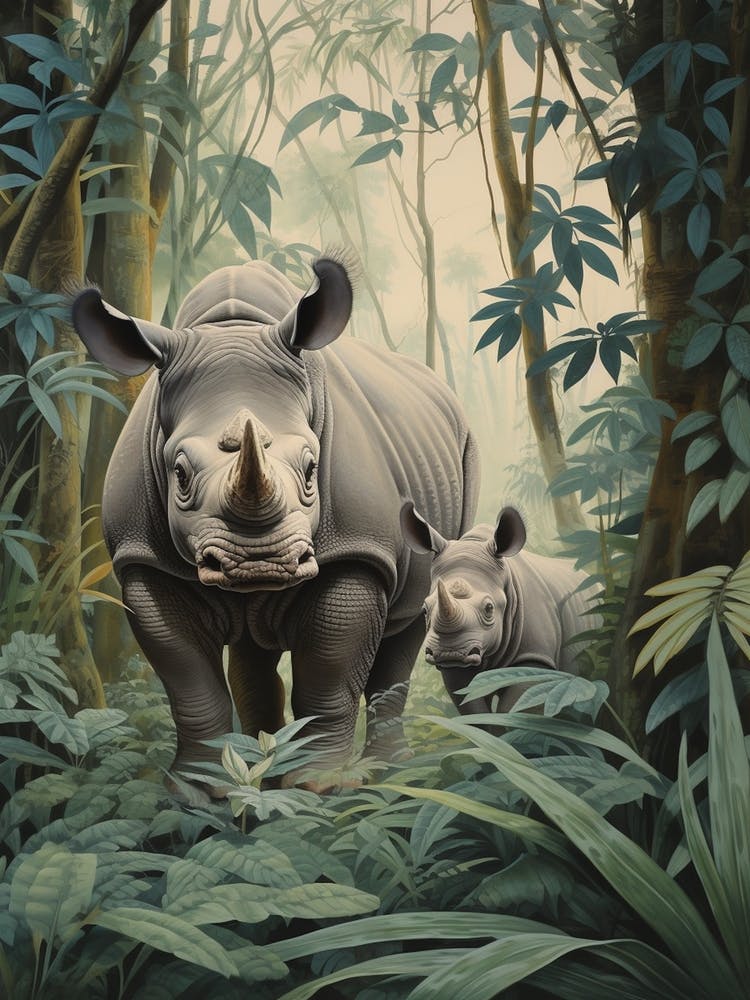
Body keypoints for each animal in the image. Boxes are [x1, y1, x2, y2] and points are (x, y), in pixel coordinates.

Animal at [73, 257, 479, 788]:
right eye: (179, 474)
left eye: (311, 469)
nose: (259, 562)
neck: (233, 327)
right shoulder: (145, 559)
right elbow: (188, 682)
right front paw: (199, 792)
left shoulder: (358, 548)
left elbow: (328, 676)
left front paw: (317, 786)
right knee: (252, 659)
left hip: (462, 450)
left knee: (413, 615)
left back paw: (391, 774)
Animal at [400, 502, 597, 714]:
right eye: (425, 610)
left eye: (489, 608)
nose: (449, 653)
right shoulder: (460, 664)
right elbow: (471, 704)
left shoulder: (535, 657)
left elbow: (516, 707)